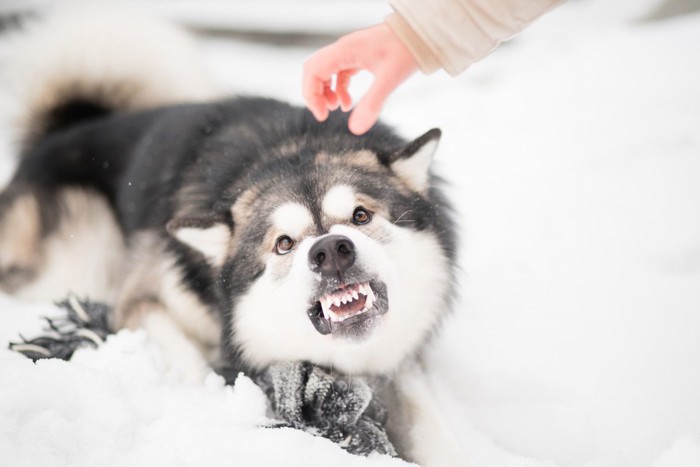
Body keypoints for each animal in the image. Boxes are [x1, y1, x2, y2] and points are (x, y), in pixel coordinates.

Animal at [0, 6, 464, 464]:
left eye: (361, 215)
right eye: (283, 243)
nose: (332, 251)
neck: (287, 148)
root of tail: (56, 133)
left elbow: (429, 422)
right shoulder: (142, 299)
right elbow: (186, 359)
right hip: (85, 252)